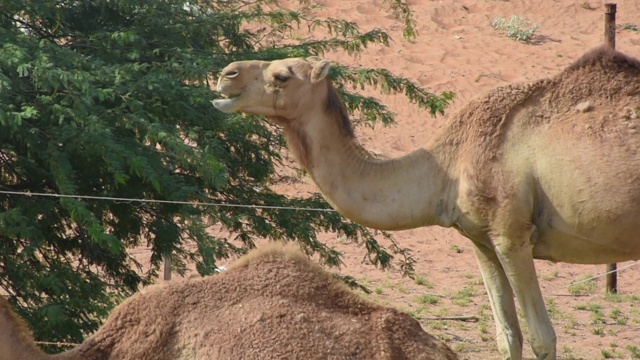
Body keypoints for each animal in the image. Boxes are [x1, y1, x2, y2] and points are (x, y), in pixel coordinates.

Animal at [212, 45, 640, 360]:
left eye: (282, 75)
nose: (226, 73)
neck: (448, 166)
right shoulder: (482, 239)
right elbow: (508, 336)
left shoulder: (511, 233)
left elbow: (541, 338)